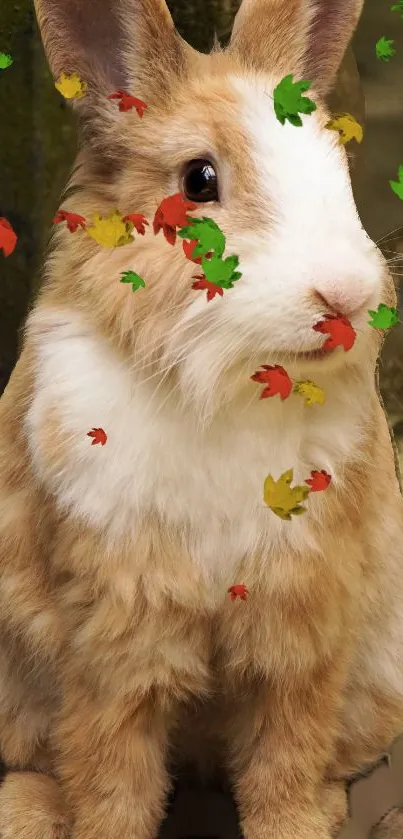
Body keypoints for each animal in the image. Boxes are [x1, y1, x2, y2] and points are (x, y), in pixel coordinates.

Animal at [0, 1, 403, 839]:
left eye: (335, 167)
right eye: (199, 179)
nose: (345, 296)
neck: (228, 385)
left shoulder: (302, 619)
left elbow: (285, 758)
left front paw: (296, 824)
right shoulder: (113, 626)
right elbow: (110, 770)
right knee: (37, 761)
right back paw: (24, 809)